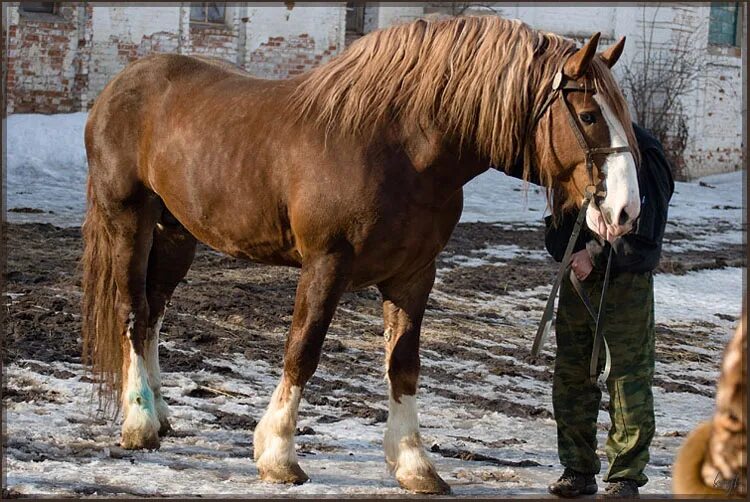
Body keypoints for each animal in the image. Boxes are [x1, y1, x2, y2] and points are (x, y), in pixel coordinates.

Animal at [83, 15, 648, 494]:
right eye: (590, 115)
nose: (625, 211)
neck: (399, 148)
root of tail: (116, 88)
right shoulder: (326, 264)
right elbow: (302, 351)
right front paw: (278, 454)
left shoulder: (414, 275)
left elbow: (404, 364)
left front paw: (415, 465)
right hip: (129, 219)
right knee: (132, 309)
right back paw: (139, 423)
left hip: (176, 231)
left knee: (154, 313)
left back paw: (160, 414)